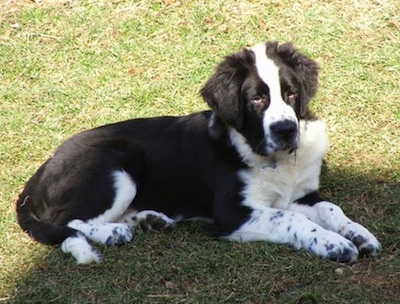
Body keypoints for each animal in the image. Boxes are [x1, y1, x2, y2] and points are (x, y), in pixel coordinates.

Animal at [15, 40, 380, 264]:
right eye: (257, 99)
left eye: (291, 94)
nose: (285, 130)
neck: (265, 155)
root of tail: (39, 173)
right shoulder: (232, 212)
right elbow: (291, 219)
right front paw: (335, 245)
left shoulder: (299, 194)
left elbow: (330, 208)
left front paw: (358, 234)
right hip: (117, 165)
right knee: (66, 222)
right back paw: (113, 232)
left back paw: (150, 220)